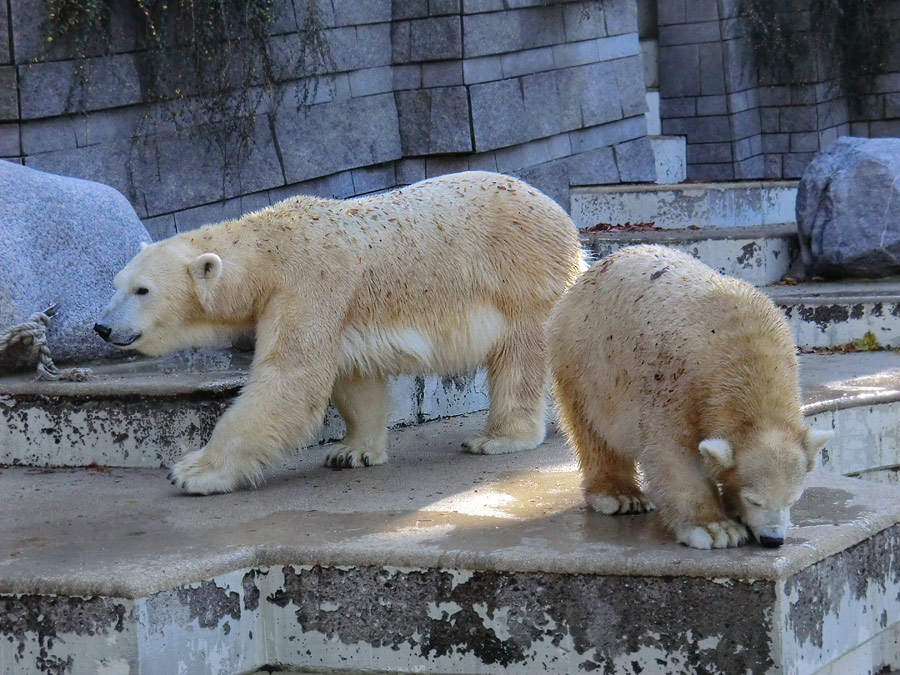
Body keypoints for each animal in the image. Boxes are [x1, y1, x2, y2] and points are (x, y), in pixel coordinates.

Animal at [95, 172, 580, 494]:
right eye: (116, 283)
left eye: (143, 290)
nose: (102, 326)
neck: (271, 248)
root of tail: (562, 216)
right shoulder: (342, 311)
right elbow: (353, 378)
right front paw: (352, 452)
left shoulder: (310, 284)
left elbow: (289, 379)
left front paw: (194, 471)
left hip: (520, 277)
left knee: (519, 356)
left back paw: (497, 438)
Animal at [544, 246, 832, 552]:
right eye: (754, 499)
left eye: (793, 498)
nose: (772, 540)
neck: (746, 354)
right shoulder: (679, 382)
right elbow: (673, 452)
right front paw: (716, 529)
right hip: (586, 359)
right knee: (593, 430)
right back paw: (619, 497)